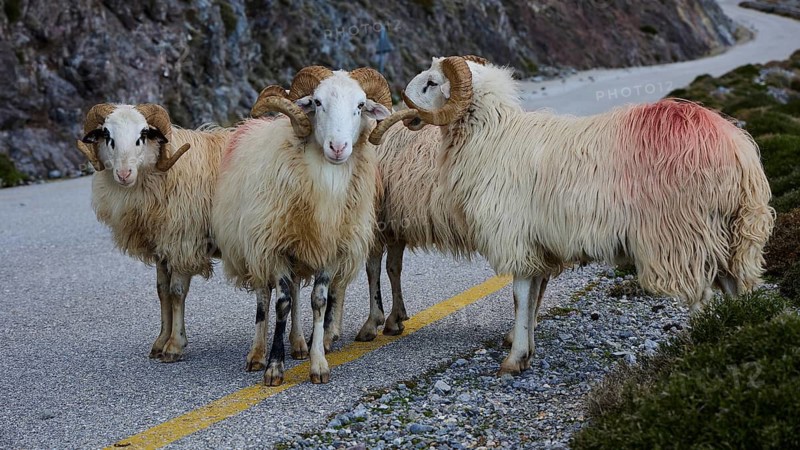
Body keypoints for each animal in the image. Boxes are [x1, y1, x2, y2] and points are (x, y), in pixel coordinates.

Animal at [75, 103, 231, 363]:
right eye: (108, 136)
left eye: (142, 135)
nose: (124, 174)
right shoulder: (162, 249)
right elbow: (162, 292)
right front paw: (160, 342)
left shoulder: (182, 243)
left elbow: (177, 292)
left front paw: (174, 346)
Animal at [211, 66, 392, 385]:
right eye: (317, 103)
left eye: (360, 106)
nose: (338, 147)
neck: (326, 183)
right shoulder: (275, 247)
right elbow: (280, 304)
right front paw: (274, 366)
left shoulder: (329, 248)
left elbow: (318, 301)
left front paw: (317, 362)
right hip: (256, 247)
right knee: (264, 297)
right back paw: (256, 354)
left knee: (295, 291)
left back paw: (297, 344)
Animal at [376, 56, 774, 375]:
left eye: (431, 83)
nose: (400, 107)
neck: (490, 138)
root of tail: (736, 149)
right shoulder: (538, 243)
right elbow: (532, 296)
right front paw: (526, 349)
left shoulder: (514, 236)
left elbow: (520, 295)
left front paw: (513, 359)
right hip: (731, 235)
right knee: (734, 290)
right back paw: (734, 338)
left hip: (681, 237)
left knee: (701, 298)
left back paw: (697, 353)